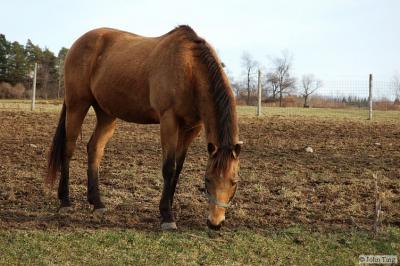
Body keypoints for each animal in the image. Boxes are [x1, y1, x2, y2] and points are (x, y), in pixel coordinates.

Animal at [47, 25, 241, 231]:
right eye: (208, 179)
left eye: (234, 182)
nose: (215, 222)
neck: (190, 69)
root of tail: (78, 42)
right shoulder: (169, 120)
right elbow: (169, 168)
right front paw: (167, 216)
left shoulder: (192, 128)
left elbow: (178, 169)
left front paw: (168, 207)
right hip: (77, 105)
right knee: (68, 149)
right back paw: (65, 201)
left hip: (106, 113)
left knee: (95, 148)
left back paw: (97, 203)